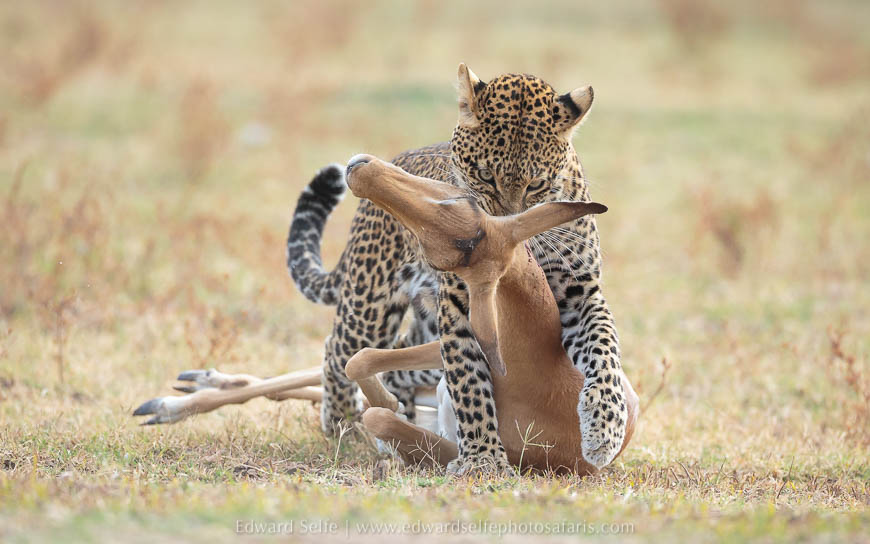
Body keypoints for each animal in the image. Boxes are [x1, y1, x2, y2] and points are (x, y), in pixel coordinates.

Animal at [286, 64, 627, 474]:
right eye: (484, 176)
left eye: (536, 184)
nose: (508, 227)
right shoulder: (459, 304)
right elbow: (468, 381)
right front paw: (482, 457)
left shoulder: (580, 291)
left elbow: (604, 348)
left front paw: (604, 427)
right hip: (370, 303)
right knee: (338, 349)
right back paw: (343, 424)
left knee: (397, 356)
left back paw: (398, 416)